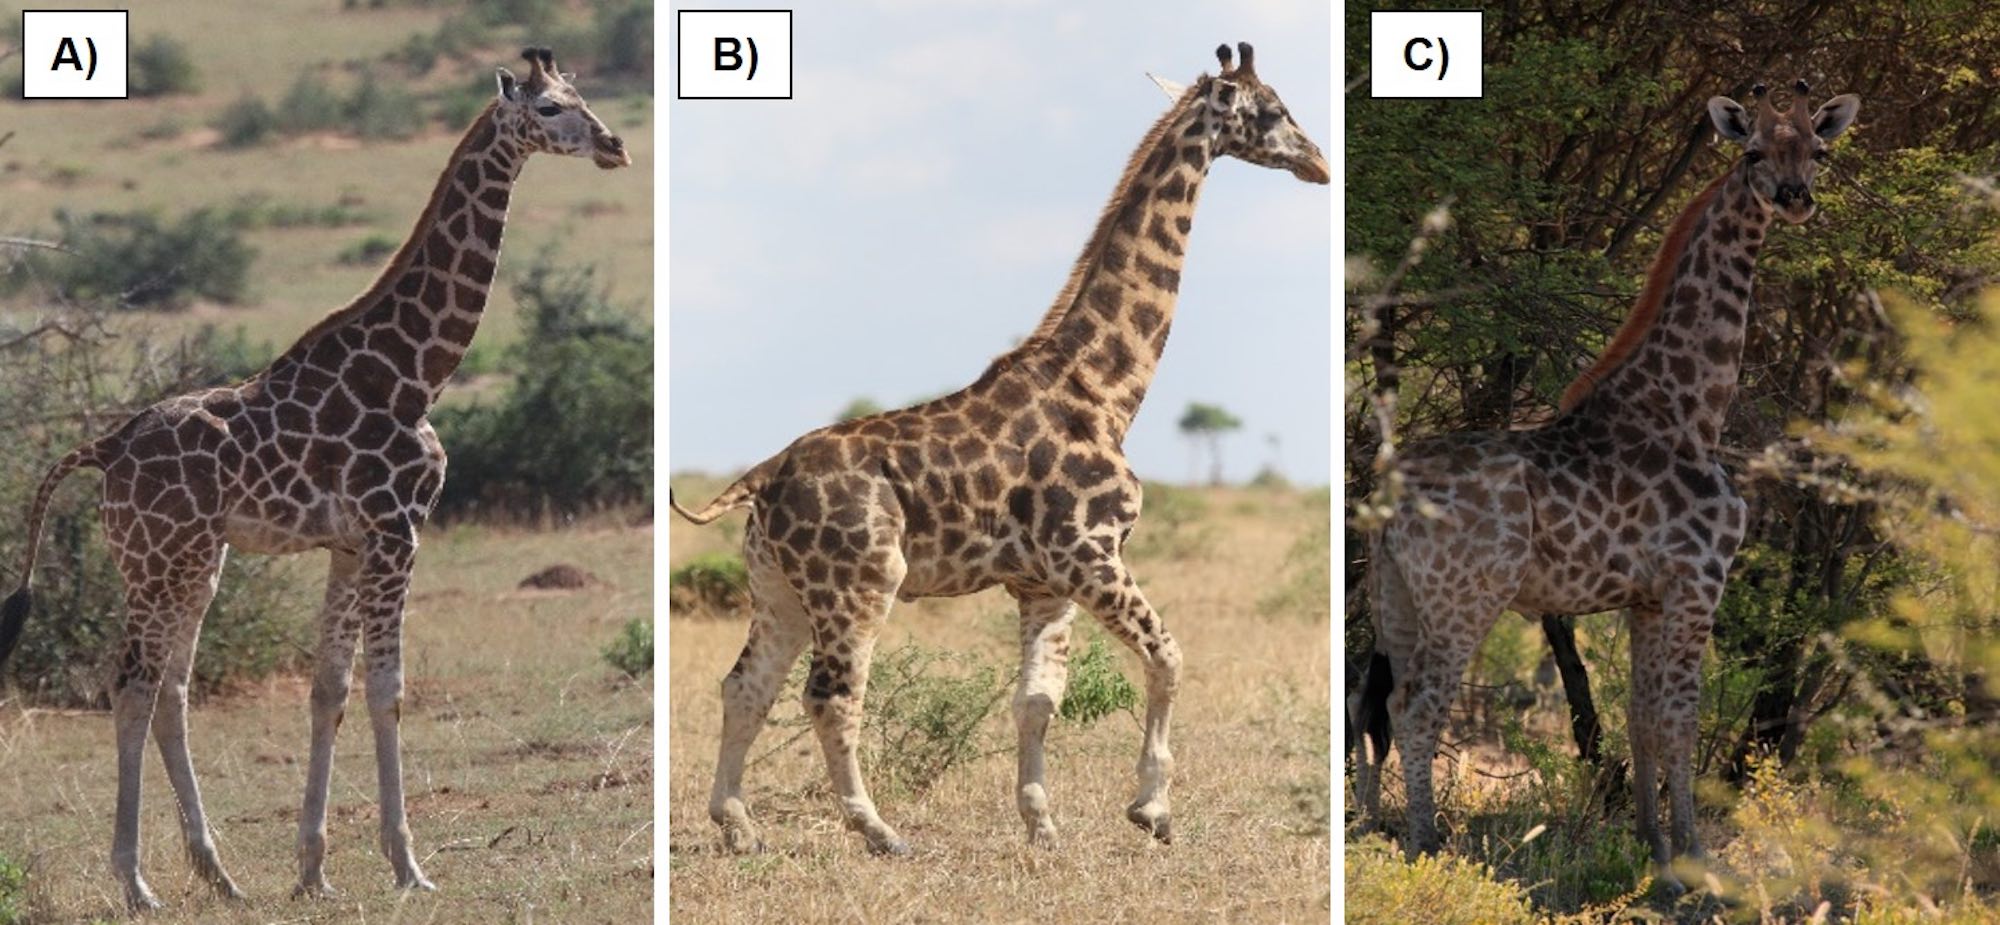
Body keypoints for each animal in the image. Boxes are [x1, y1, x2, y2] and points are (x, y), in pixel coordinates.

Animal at [0, 47, 624, 904]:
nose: (614, 145)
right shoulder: (397, 531)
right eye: (554, 108)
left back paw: (219, 873)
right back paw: (136, 882)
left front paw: (314, 869)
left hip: (196, 563)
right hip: (161, 560)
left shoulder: (349, 543)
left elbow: (328, 688)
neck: (414, 373)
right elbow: (387, 690)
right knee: (131, 684)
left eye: (582, 98)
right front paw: (408, 865)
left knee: (171, 691)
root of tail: (106, 446)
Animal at [672, 41, 1328, 852]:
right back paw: (878, 830)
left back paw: (738, 826)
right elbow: (1168, 656)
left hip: (777, 587)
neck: (1105, 391)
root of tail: (764, 477)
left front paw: (1042, 823)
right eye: (1273, 110)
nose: (1318, 162)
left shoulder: (1044, 582)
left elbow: (1037, 701)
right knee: (830, 695)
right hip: (860, 581)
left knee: (746, 686)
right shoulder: (1091, 553)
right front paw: (1151, 809)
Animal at [1352, 86, 1864, 888]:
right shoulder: (1697, 582)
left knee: (1370, 701)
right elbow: (1680, 717)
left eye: (1817, 150)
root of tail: (1384, 495)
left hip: (1396, 597)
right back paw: (1423, 848)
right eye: (1753, 152)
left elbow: (1639, 717)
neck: (1691, 411)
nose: (1794, 197)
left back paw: (1373, 833)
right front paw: (1695, 858)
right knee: (1416, 705)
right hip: (1466, 597)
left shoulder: (1646, 597)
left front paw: (1655, 850)